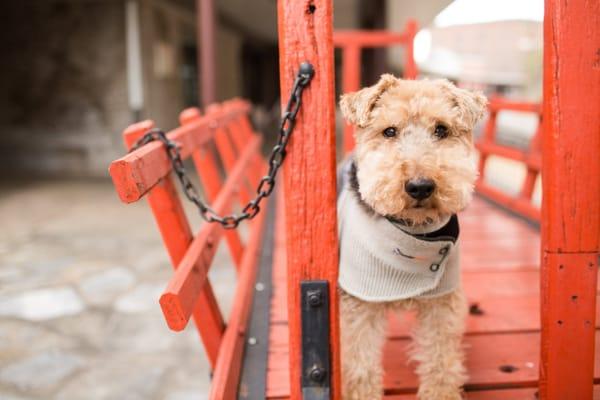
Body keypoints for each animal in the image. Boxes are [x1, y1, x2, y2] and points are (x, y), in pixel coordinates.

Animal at [338, 74, 488, 396]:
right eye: (389, 131)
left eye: (441, 129)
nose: (420, 186)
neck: (412, 235)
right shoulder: (360, 305)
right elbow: (360, 367)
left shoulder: (441, 303)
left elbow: (441, 360)